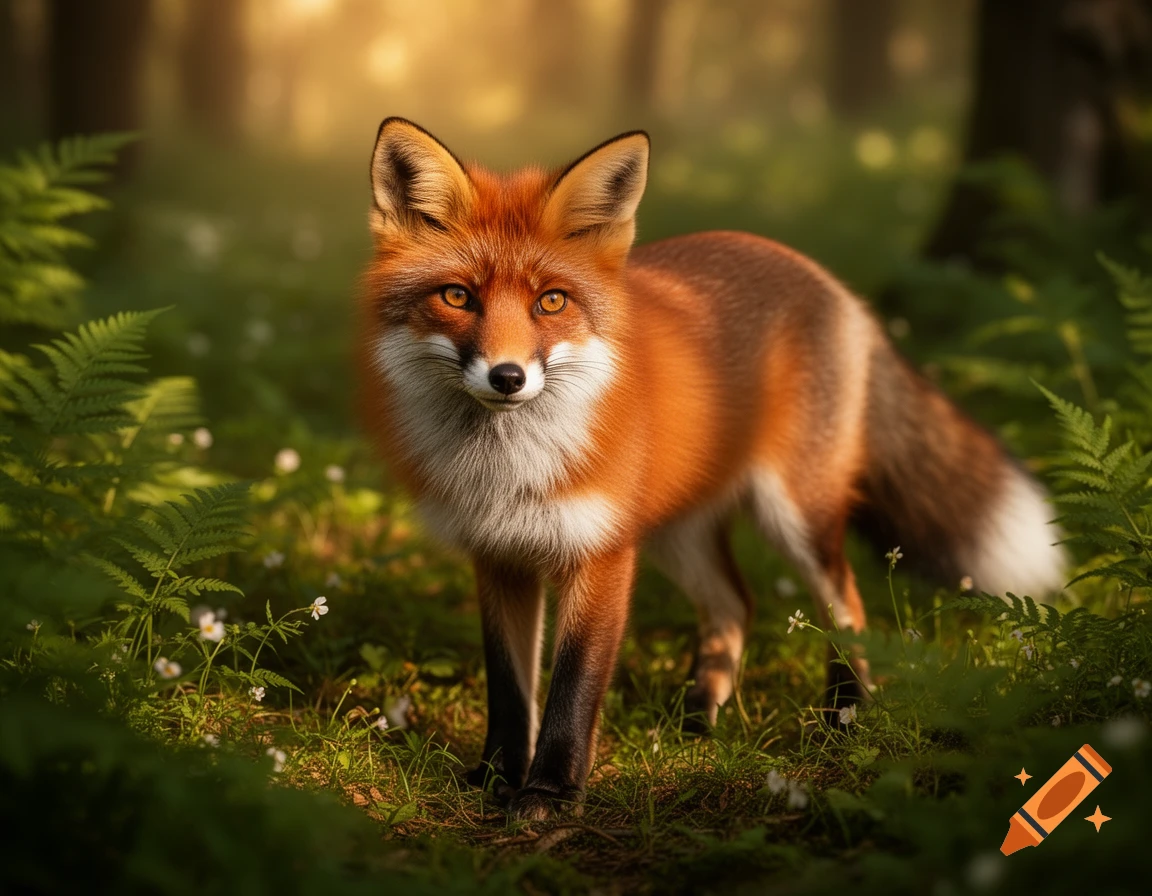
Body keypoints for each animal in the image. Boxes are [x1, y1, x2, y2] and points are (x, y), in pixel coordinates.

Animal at [355, 118, 1067, 821]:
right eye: (457, 296)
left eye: (551, 303)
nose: (507, 377)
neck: (509, 469)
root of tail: (829, 282)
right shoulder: (498, 554)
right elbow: (509, 688)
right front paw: (493, 779)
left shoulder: (601, 552)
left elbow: (574, 684)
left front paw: (550, 793)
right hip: (676, 531)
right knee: (736, 603)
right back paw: (698, 717)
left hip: (795, 516)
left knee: (848, 605)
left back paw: (845, 715)